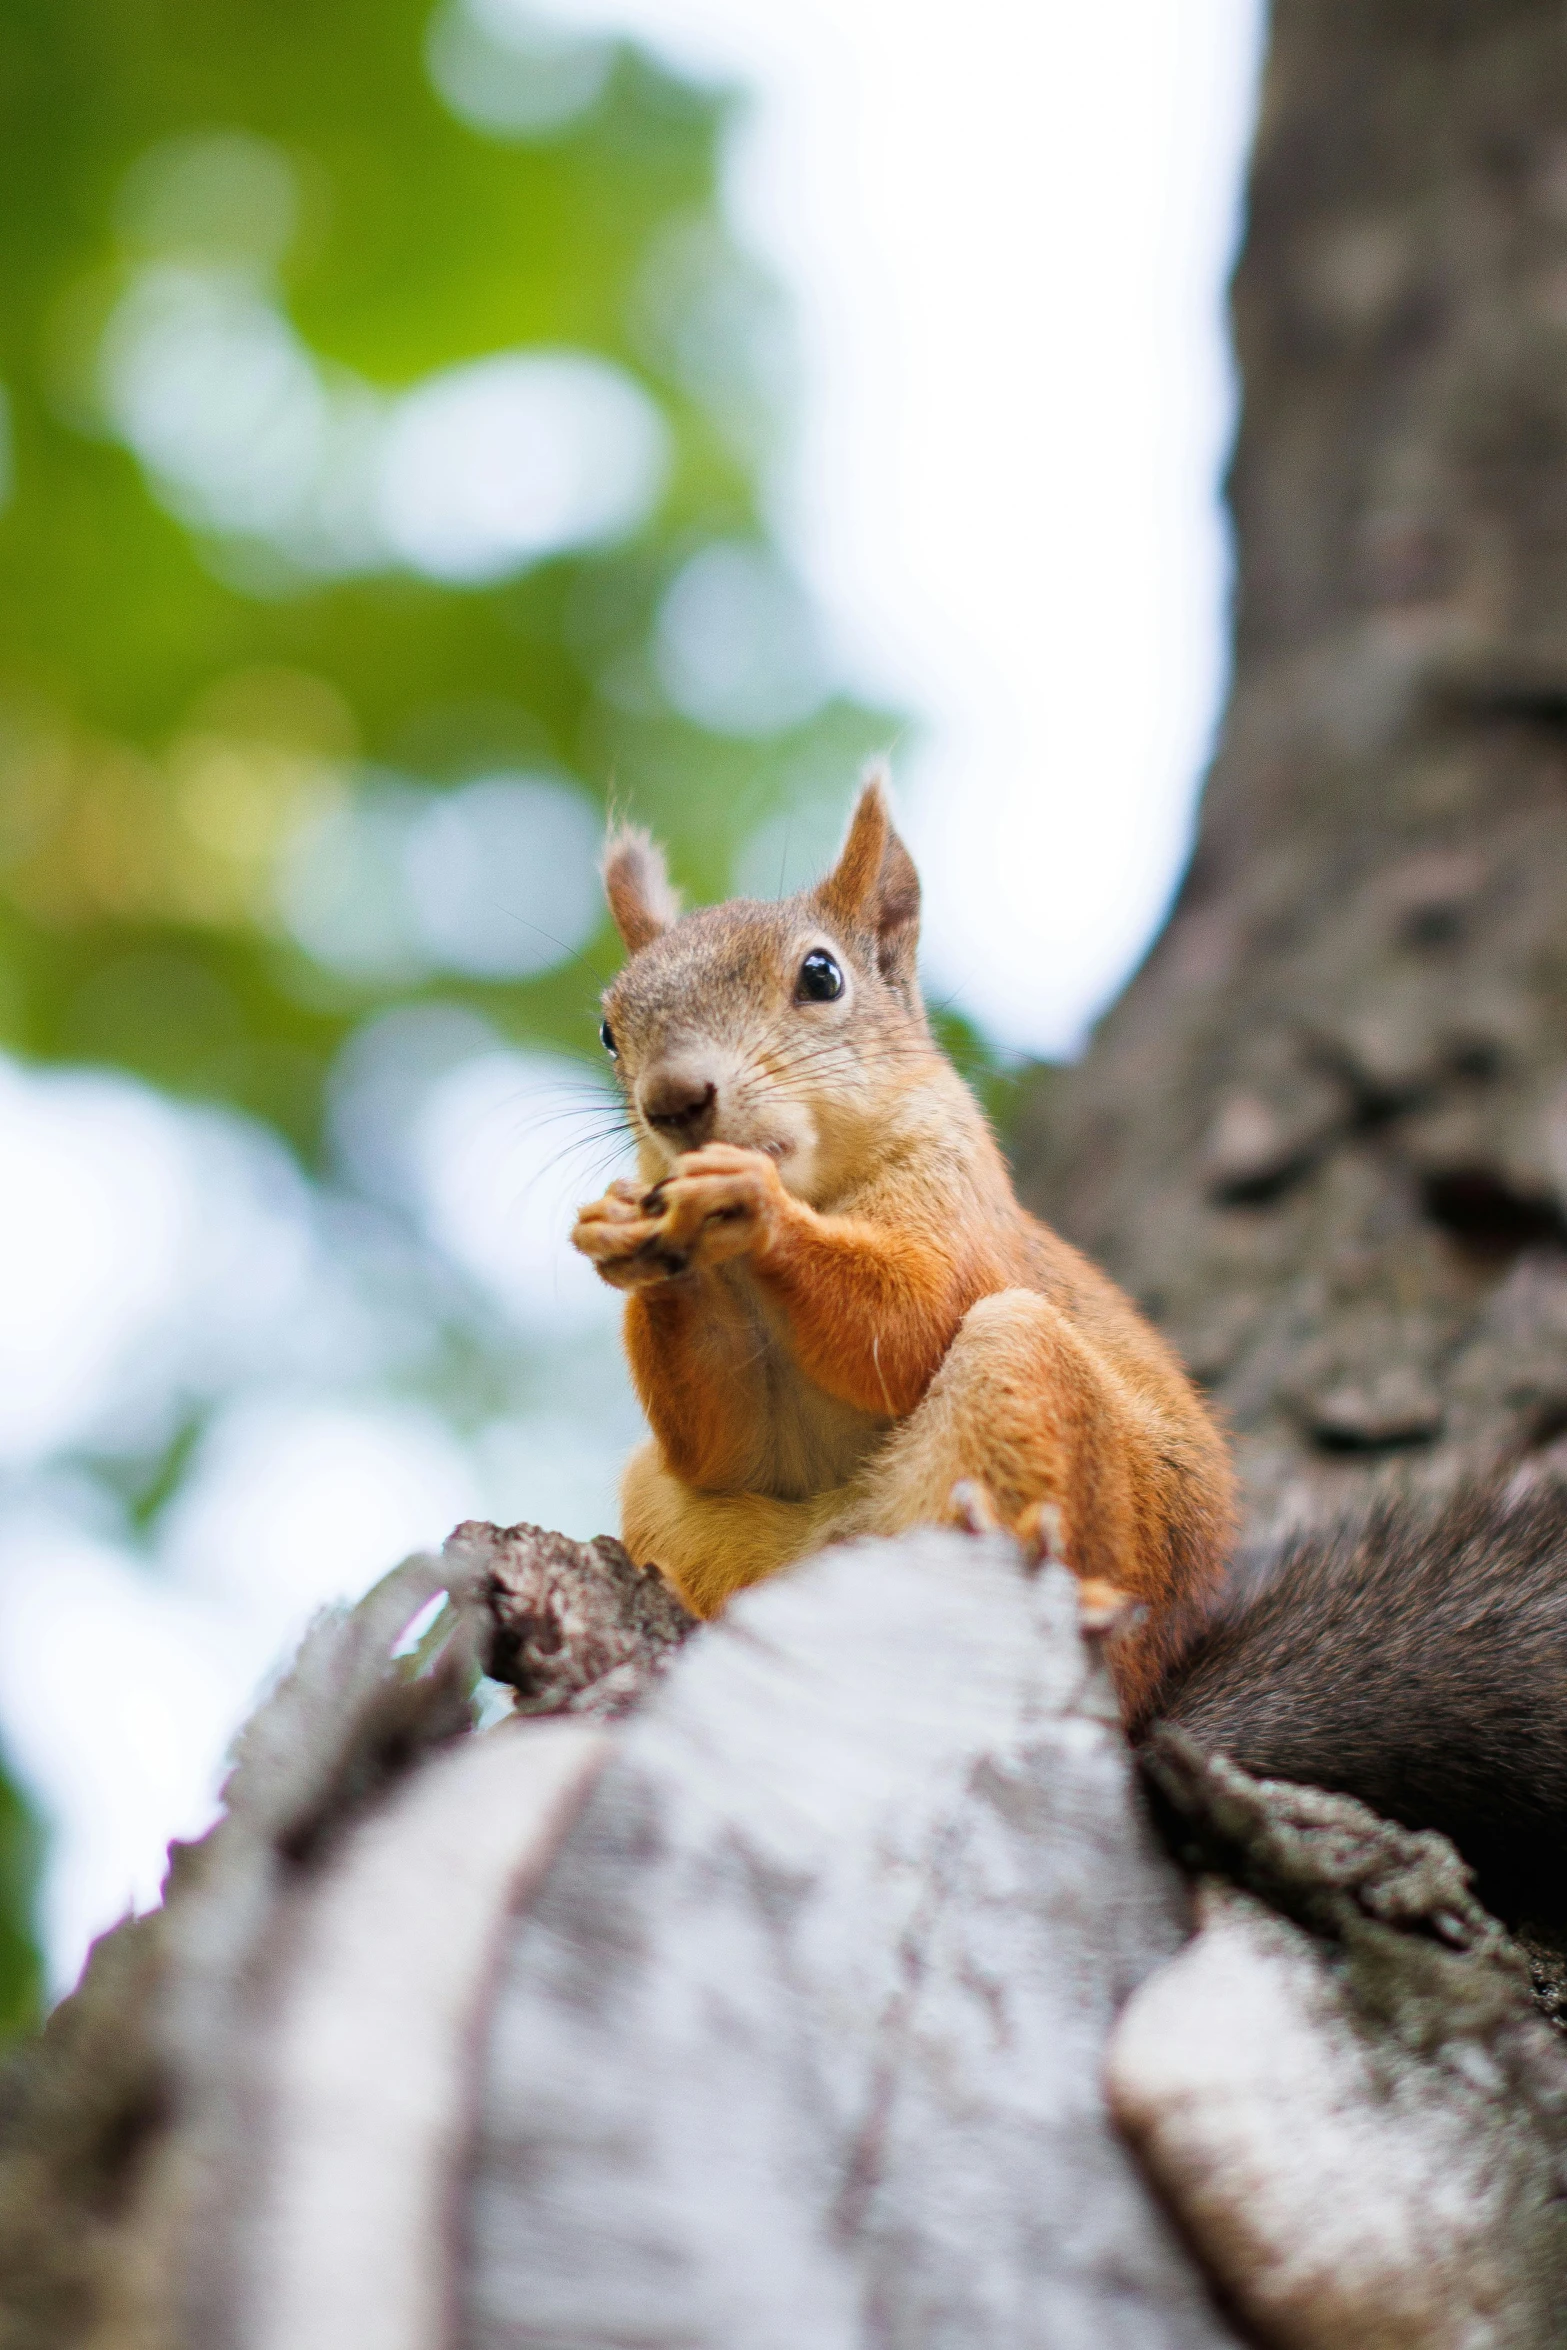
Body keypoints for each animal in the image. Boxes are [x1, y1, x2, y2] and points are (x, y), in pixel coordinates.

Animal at [575, 770, 1240, 1710]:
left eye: (821, 975)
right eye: (607, 1029)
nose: (672, 1099)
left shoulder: (961, 1193)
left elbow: (909, 1318)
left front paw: (756, 1204)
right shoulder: (728, 1436)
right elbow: (717, 1445)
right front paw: (619, 1230)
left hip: (1045, 1399)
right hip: (681, 1512)